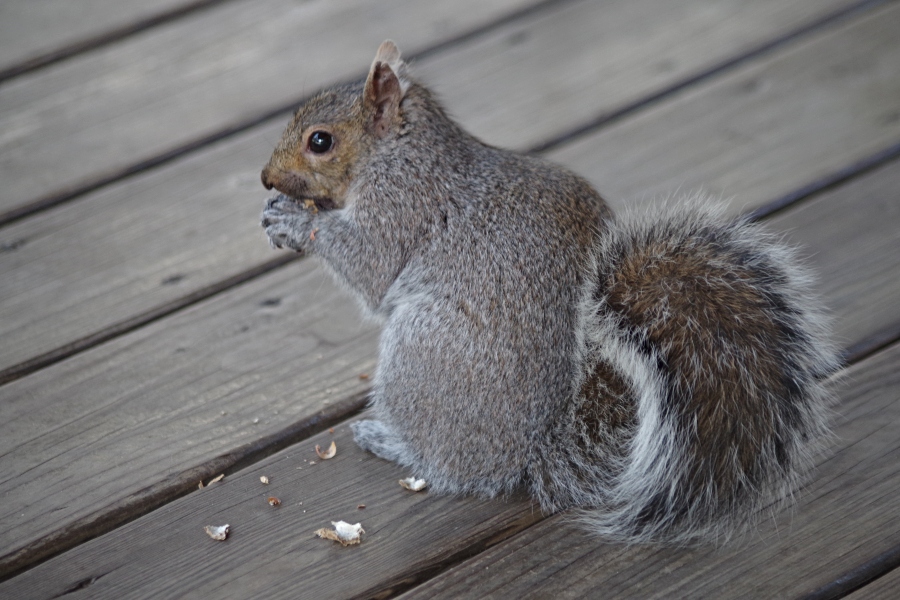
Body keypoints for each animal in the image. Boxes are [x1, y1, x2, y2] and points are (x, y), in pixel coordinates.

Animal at [258, 39, 836, 540]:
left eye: (320, 141)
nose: (265, 178)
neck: (399, 153)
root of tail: (532, 450)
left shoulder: (400, 209)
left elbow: (370, 269)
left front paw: (293, 222)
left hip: (423, 356)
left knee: (453, 470)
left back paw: (391, 442)